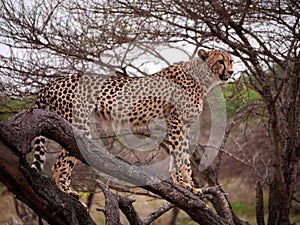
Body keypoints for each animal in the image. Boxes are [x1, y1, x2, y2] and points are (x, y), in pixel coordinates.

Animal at [30, 48, 233, 197]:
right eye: (220, 61)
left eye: (230, 60)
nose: (231, 72)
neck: (202, 78)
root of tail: (55, 81)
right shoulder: (176, 122)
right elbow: (178, 153)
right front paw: (183, 183)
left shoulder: (185, 126)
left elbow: (184, 155)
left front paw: (190, 184)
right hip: (77, 125)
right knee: (59, 164)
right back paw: (67, 192)